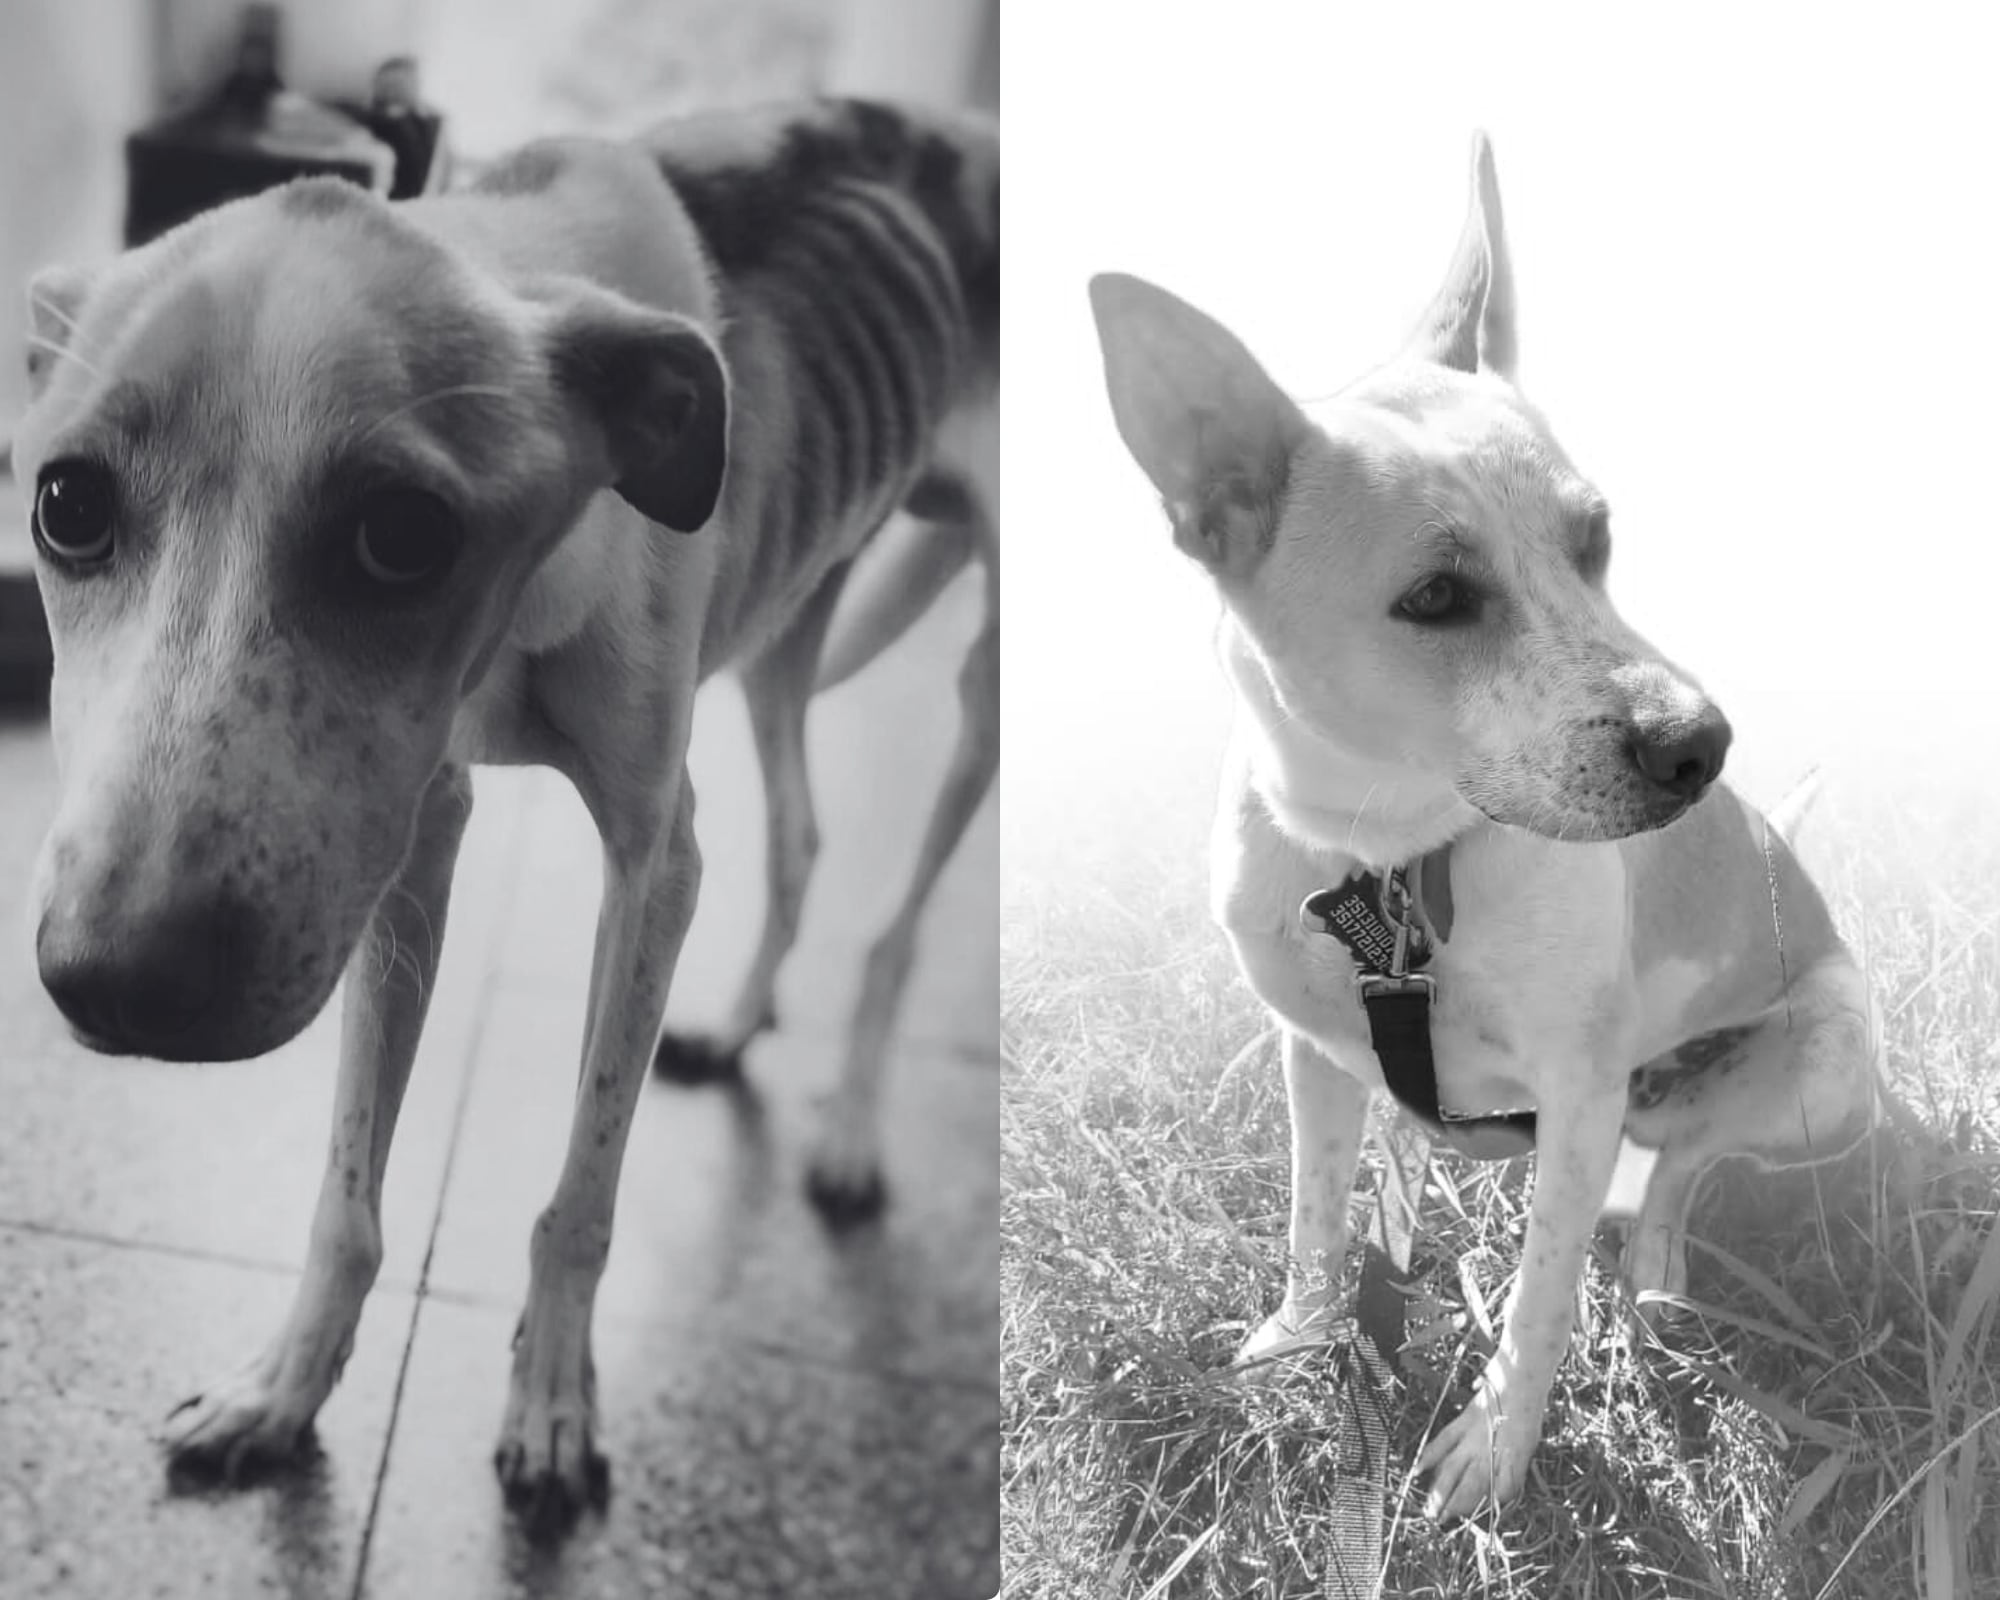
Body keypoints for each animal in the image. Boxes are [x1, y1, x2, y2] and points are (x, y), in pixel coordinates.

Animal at [1088, 134, 1864, 1512]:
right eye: (1436, 597)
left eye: (1593, 536)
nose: (1700, 747)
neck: (1386, 862)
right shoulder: (1312, 1055)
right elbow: (1313, 1216)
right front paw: (1295, 1346)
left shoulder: (1577, 1088)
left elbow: (1540, 1295)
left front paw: (1494, 1447)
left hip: (1818, 1076)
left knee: (1677, 1166)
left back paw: (1655, 1272)